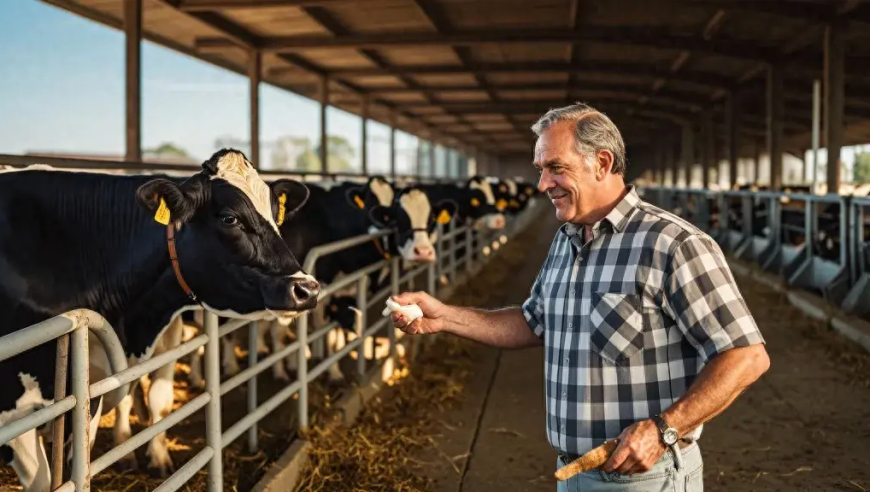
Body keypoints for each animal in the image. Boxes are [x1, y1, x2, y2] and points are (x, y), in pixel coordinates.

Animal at [0, 149, 320, 488]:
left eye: (276, 216)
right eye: (229, 218)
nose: (307, 289)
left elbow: (158, 399)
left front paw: (159, 458)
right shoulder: (15, 413)